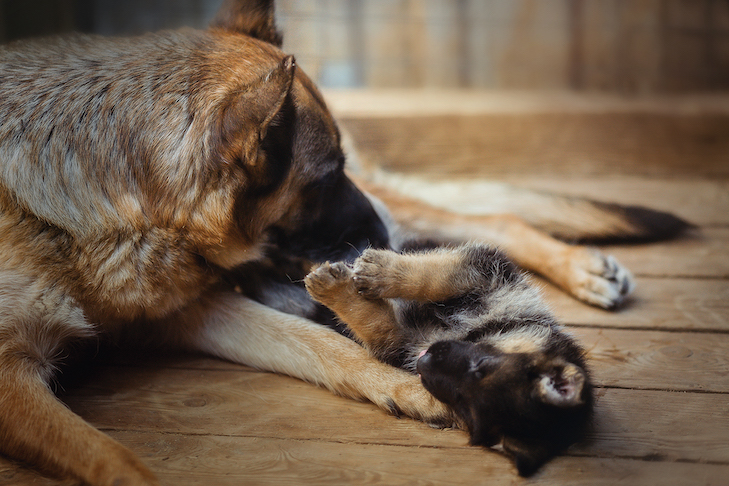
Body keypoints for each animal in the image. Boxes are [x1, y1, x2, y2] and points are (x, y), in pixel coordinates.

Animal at [0, 0, 688, 482]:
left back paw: (581, 268)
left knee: (495, 224)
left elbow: (329, 344)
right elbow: (115, 457)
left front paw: (407, 381)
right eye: (326, 176)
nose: (376, 240)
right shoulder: (43, 366)